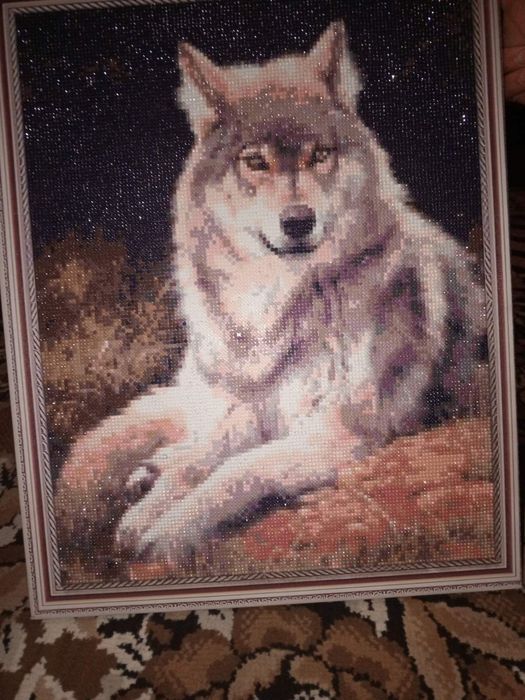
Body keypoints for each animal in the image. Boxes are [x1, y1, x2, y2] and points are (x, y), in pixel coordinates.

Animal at [56, 21, 486, 570]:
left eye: (320, 155)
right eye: (255, 162)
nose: (299, 221)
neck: (275, 308)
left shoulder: (336, 433)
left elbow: (239, 469)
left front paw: (170, 529)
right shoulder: (249, 410)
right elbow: (206, 457)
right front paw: (151, 506)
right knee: (189, 430)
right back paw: (153, 467)